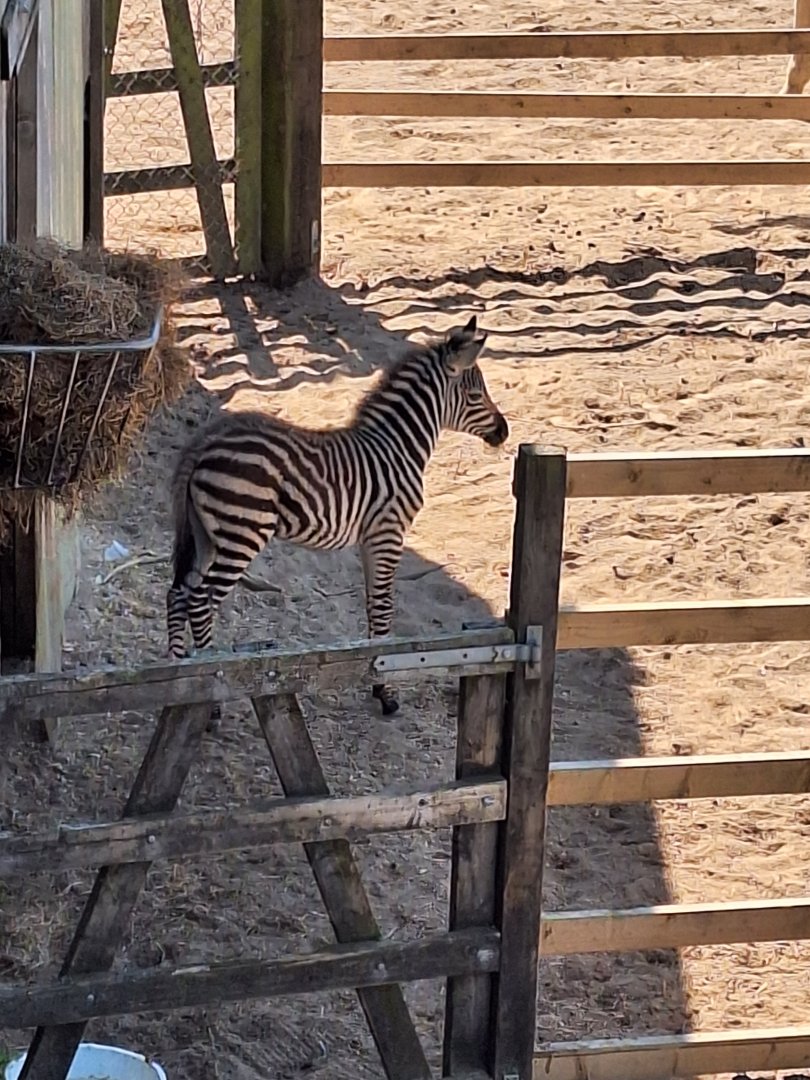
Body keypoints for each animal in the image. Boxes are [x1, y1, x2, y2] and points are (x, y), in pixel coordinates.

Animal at [166, 314, 508, 716]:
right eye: (476, 396)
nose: (505, 432)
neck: (399, 446)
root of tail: (204, 440)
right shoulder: (389, 532)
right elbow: (384, 607)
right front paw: (385, 692)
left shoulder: (370, 538)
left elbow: (373, 605)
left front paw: (376, 679)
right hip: (243, 532)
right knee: (200, 602)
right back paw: (210, 694)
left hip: (206, 536)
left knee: (177, 595)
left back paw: (178, 678)